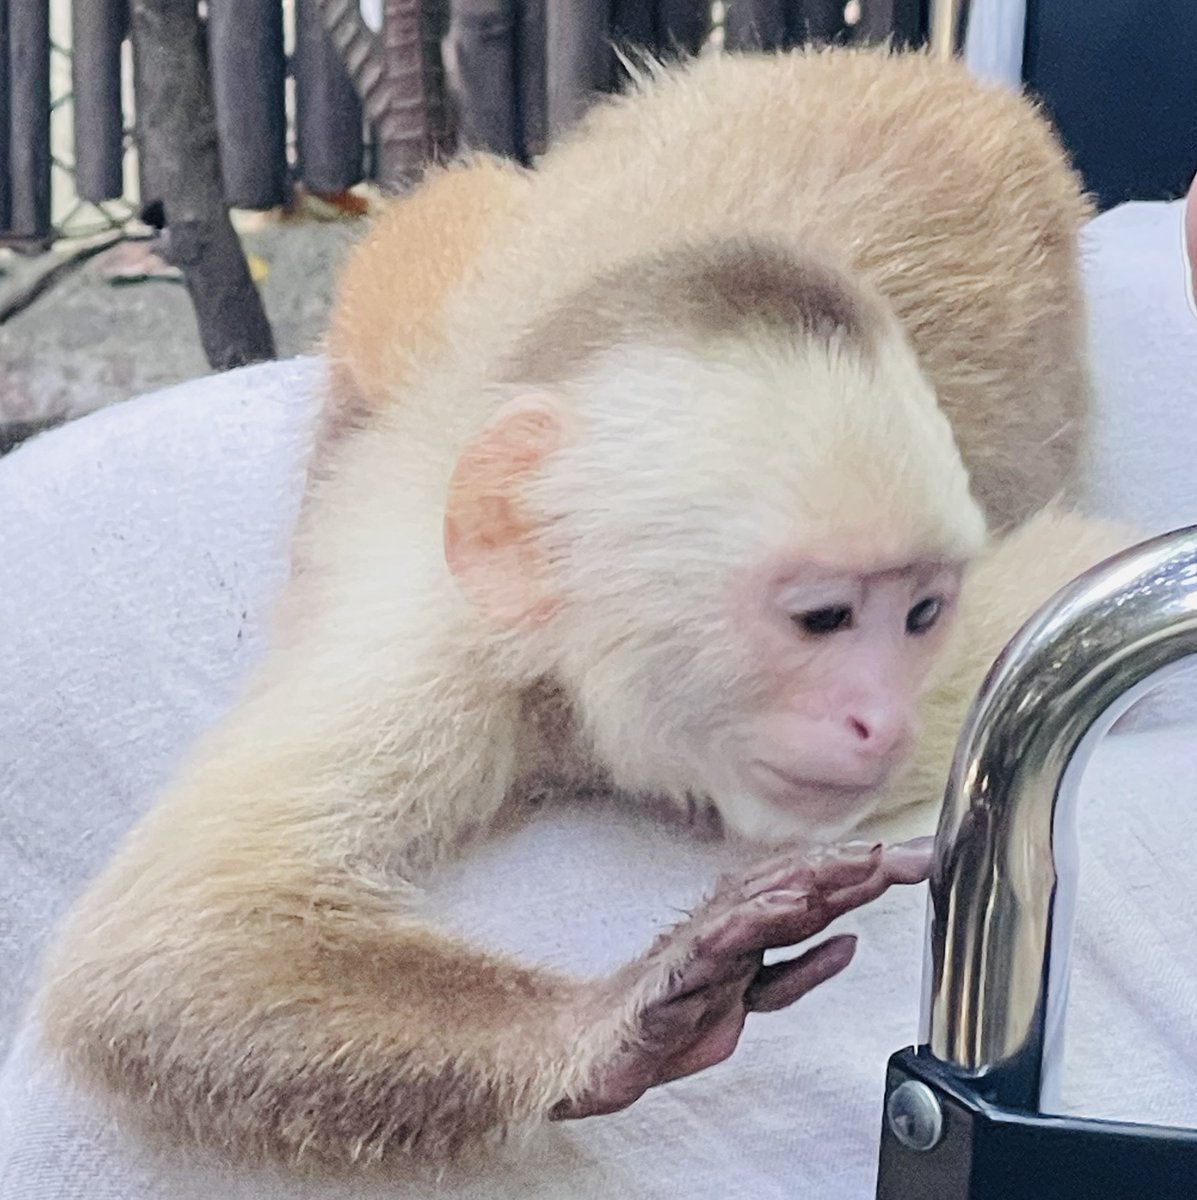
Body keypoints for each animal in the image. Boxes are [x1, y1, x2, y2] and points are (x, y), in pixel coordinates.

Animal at [36, 48, 1125, 1172]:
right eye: (822, 619)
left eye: (920, 616)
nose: (883, 718)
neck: (570, 694)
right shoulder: (434, 650)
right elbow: (170, 945)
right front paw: (623, 1020)